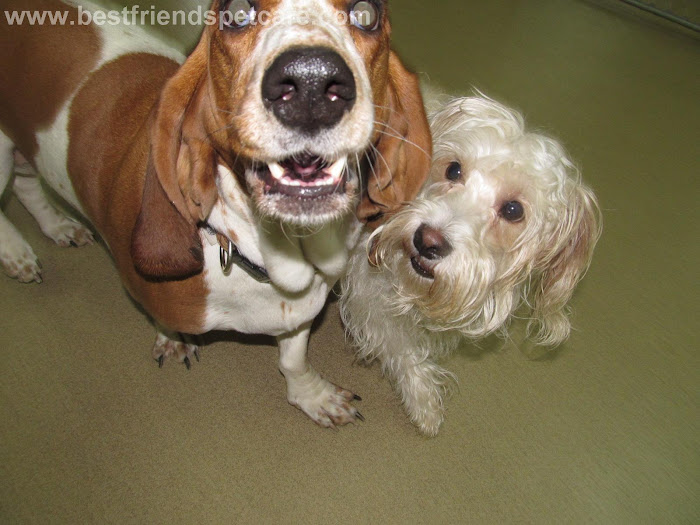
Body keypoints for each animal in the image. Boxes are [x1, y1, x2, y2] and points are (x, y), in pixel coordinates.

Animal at [0, 0, 430, 426]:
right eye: (235, 13)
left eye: (367, 13)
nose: (311, 82)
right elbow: (165, 322)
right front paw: (173, 341)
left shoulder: (299, 312)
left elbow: (293, 361)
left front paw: (313, 396)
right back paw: (17, 253)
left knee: (27, 185)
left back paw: (57, 226)